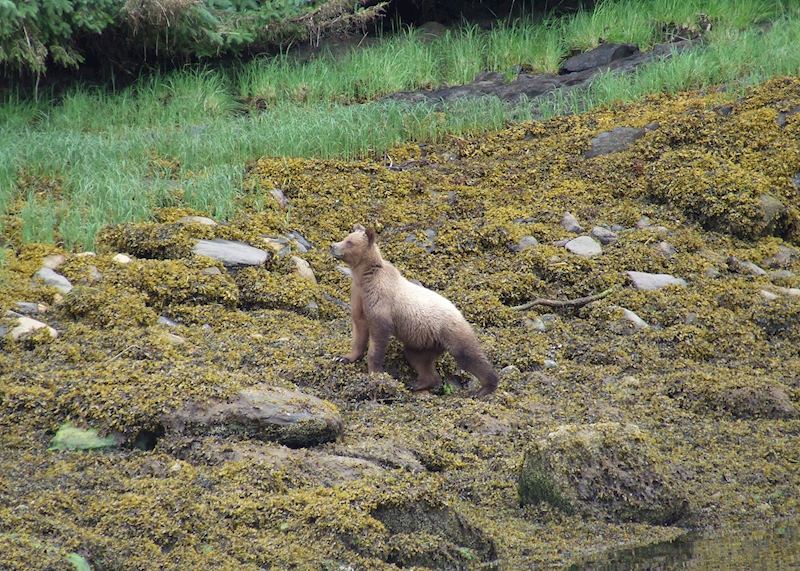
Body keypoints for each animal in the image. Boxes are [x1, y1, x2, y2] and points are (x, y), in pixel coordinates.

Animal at [330, 224, 499, 398]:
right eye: (346, 237)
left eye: (350, 242)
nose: (332, 246)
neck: (364, 277)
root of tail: (459, 313)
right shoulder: (359, 296)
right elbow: (359, 329)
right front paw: (343, 357)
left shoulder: (380, 300)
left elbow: (378, 336)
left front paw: (375, 373)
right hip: (424, 342)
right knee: (418, 359)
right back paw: (419, 384)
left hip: (451, 331)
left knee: (468, 356)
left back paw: (485, 388)